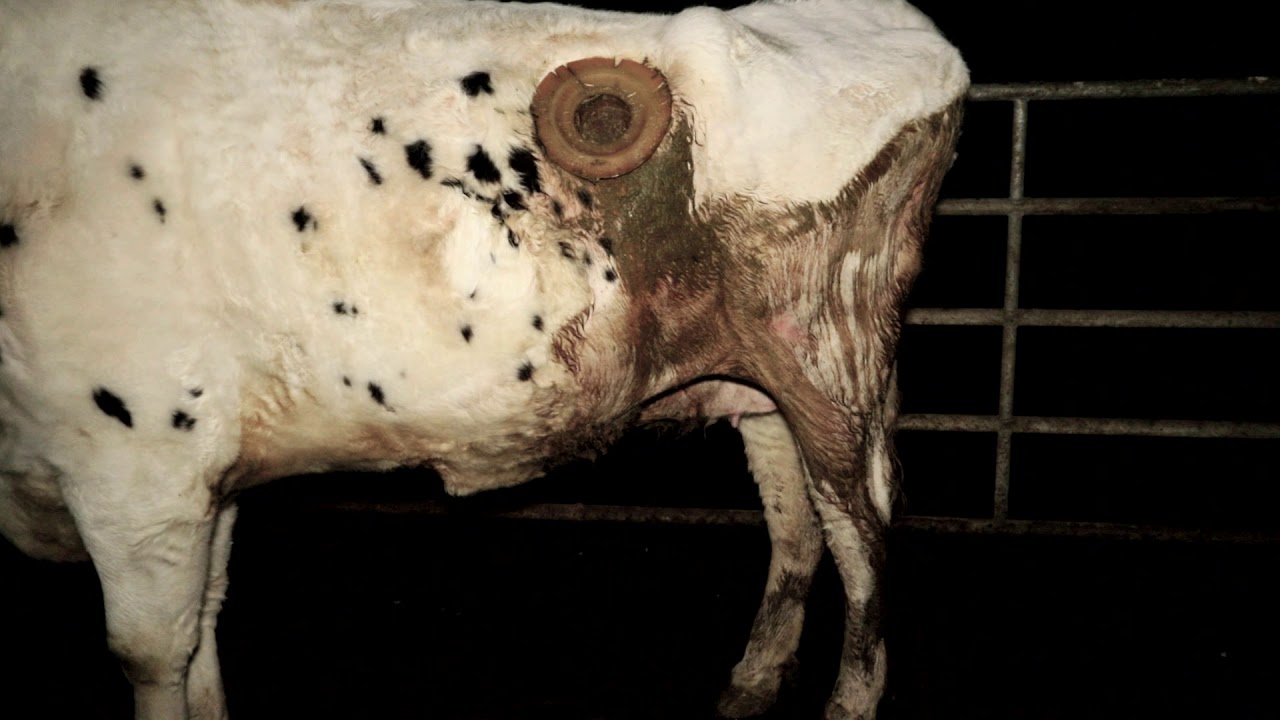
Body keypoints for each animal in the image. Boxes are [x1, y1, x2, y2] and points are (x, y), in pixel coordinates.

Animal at [0, 0, 967, 717]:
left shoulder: (138, 458)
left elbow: (152, 651)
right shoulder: (210, 466)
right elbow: (206, 619)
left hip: (834, 358)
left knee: (861, 529)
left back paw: (849, 703)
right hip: (760, 370)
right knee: (793, 514)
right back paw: (754, 680)